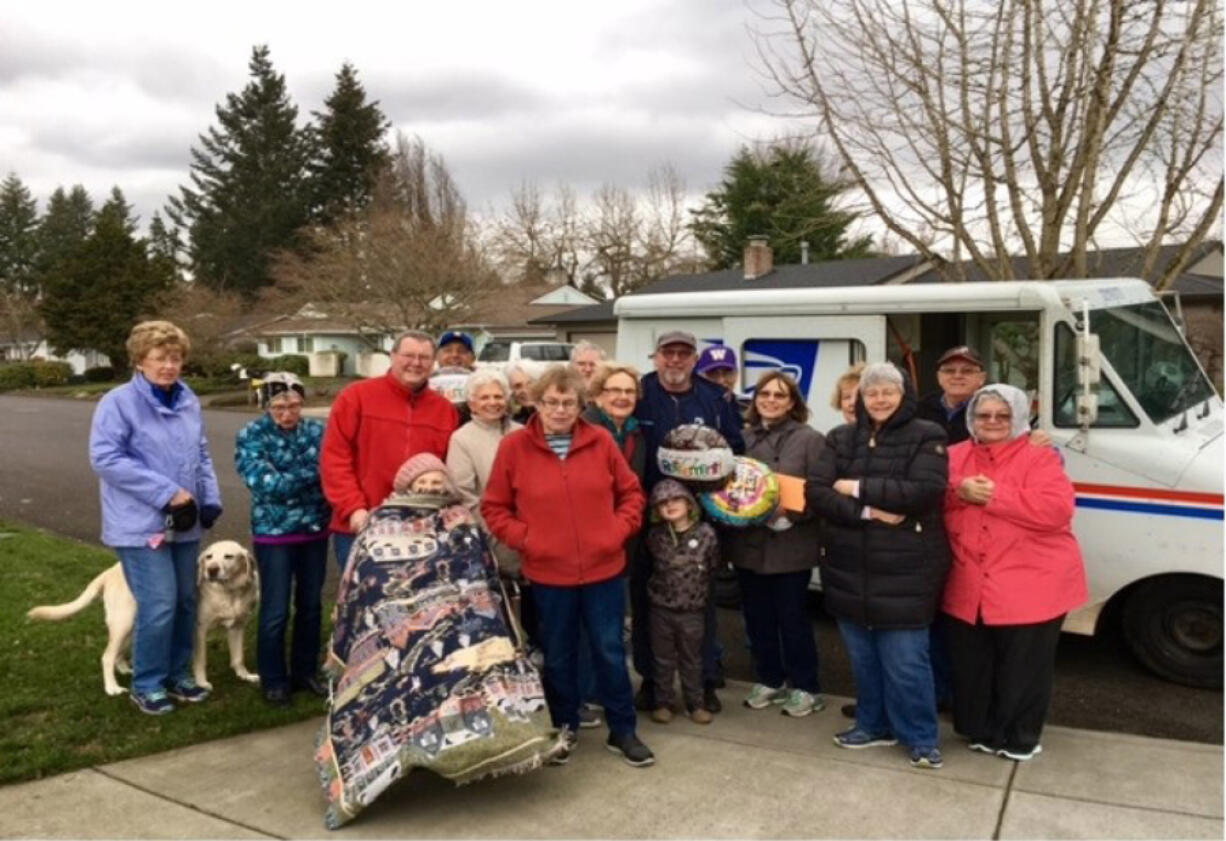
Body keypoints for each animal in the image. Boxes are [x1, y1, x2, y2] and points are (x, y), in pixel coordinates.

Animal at [28, 544, 261, 696]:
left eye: (229, 556)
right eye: (208, 557)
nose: (211, 571)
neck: (230, 592)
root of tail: (109, 572)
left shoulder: (238, 626)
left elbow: (238, 657)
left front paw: (245, 675)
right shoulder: (199, 629)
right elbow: (200, 660)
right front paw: (202, 683)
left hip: (134, 625)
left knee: (120, 652)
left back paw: (125, 669)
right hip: (123, 623)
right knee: (106, 656)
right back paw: (112, 688)